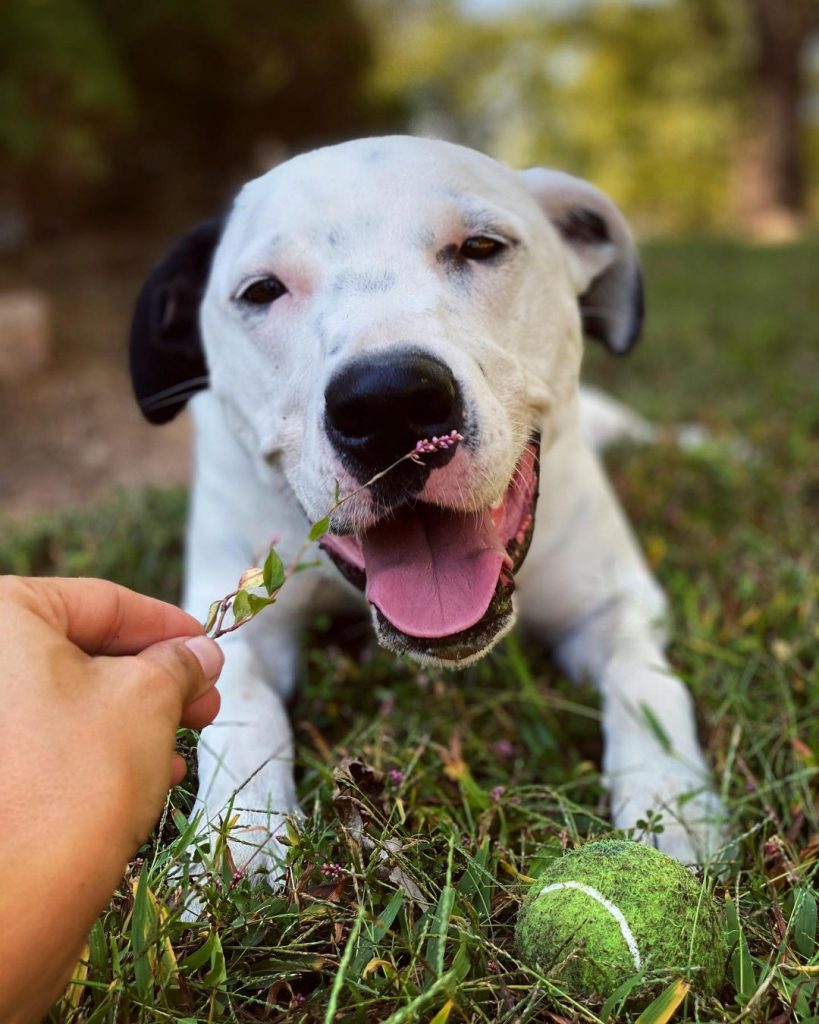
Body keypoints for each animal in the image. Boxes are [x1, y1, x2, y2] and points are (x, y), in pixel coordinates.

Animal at [129, 136, 724, 876]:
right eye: (262, 291)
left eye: (482, 247)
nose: (387, 402)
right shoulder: (233, 616)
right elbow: (238, 704)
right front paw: (238, 838)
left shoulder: (616, 604)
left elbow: (649, 684)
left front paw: (672, 805)